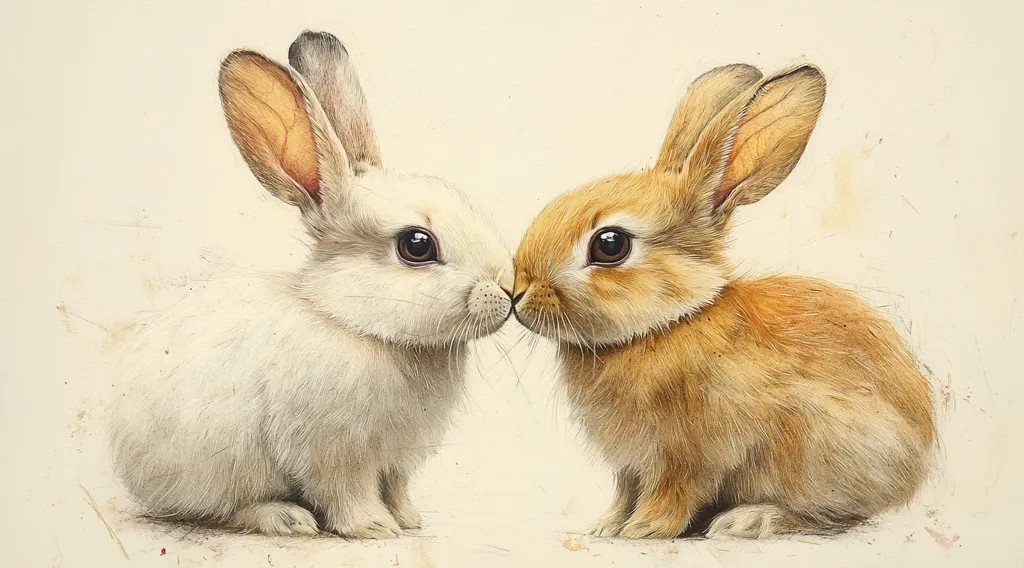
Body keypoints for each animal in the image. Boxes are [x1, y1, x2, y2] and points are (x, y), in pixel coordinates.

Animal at [107, 30, 514, 539]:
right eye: (417, 245)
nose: (508, 292)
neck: (354, 323)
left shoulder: (397, 460)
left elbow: (396, 488)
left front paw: (409, 520)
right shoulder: (334, 454)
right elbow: (347, 493)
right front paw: (373, 528)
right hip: (217, 469)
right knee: (219, 510)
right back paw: (287, 518)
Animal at [511, 63, 935, 539]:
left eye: (610, 245)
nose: (519, 293)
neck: (668, 324)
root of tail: (916, 464)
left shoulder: (689, 455)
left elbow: (674, 493)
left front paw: (644, 530)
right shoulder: (630, 465)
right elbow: (624, 492)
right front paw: (605, 527)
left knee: (836, 515)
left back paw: (749, 519)